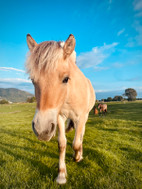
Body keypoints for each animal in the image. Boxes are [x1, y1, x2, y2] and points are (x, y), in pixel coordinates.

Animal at [26, 33, 96, 184]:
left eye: (66, 78)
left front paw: (77, 157)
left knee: (81, 136)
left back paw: (80, 153)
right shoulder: (58, 117)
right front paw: (61, 175)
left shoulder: (81, 118)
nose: (41, 129)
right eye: (33, 80)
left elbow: (76, 143)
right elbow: (62, 144)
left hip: (85, 117)